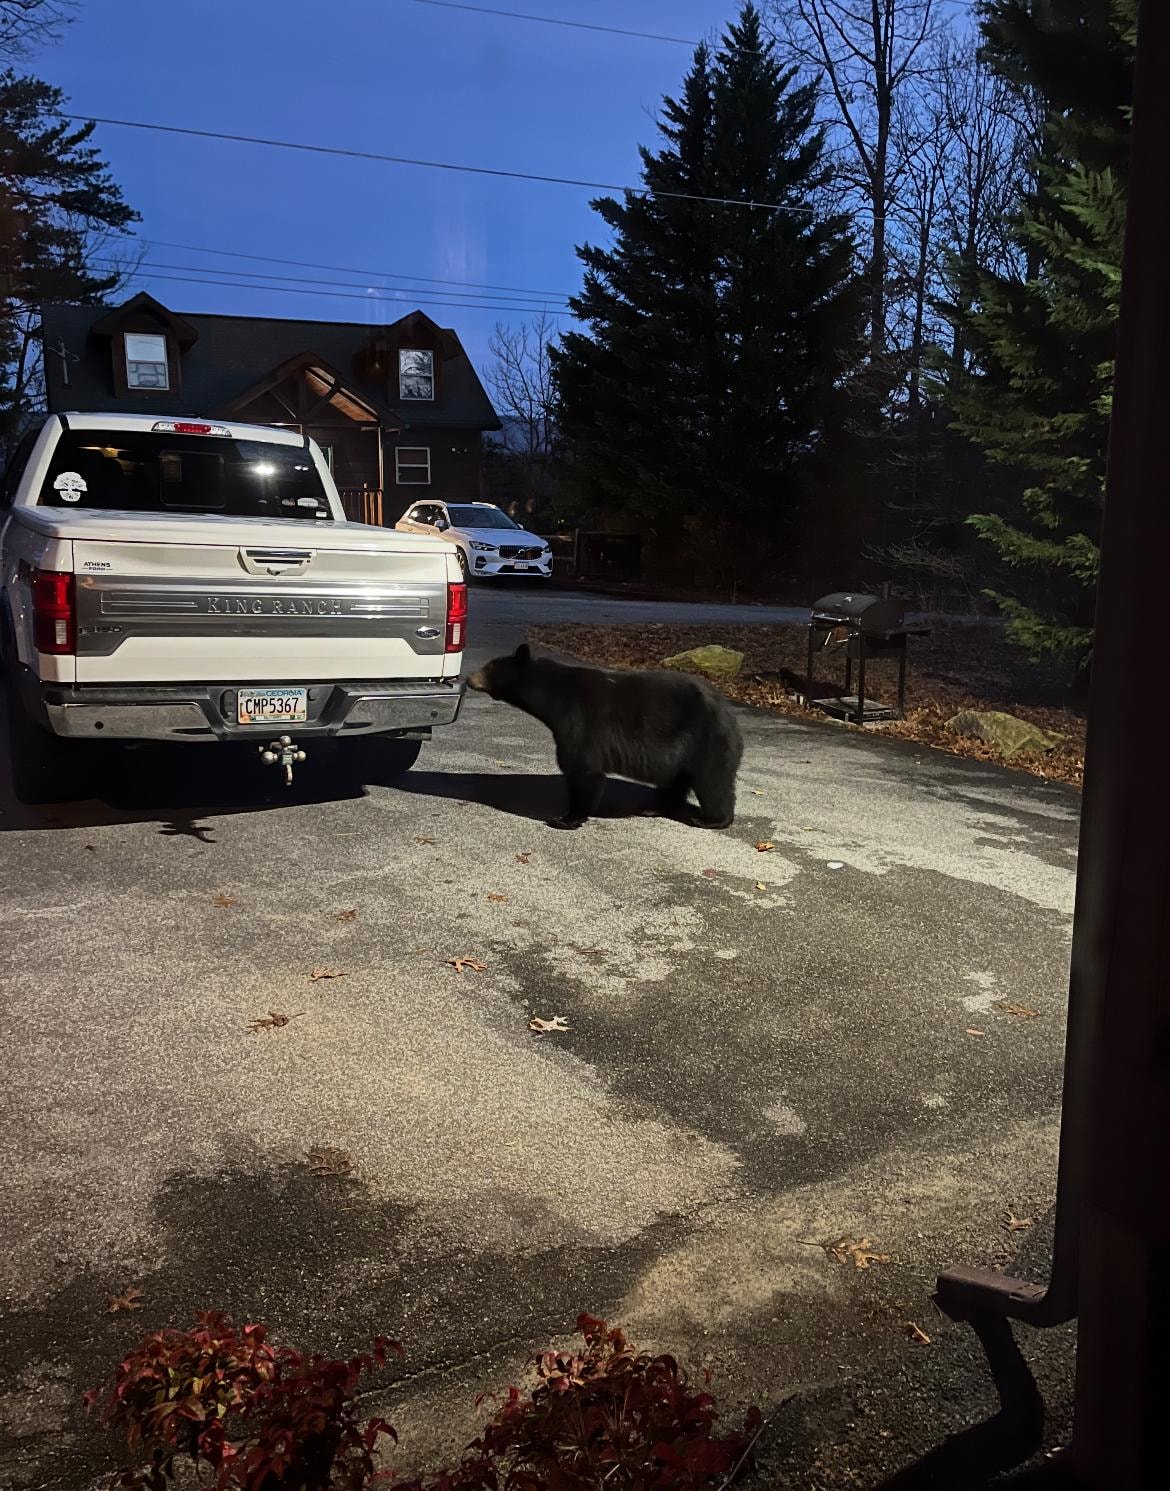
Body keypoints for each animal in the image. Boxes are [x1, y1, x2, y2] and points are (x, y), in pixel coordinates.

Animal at [466, 644, 744, 831]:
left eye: (489, 667)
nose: (469, 678)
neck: (553, 695)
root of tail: (730, 714)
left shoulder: (579, 720)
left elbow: (583, 769)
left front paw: (566, 819)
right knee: (676, 780)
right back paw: (654, 808)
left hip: (707, 740)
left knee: (712, 782)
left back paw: (711, 819)